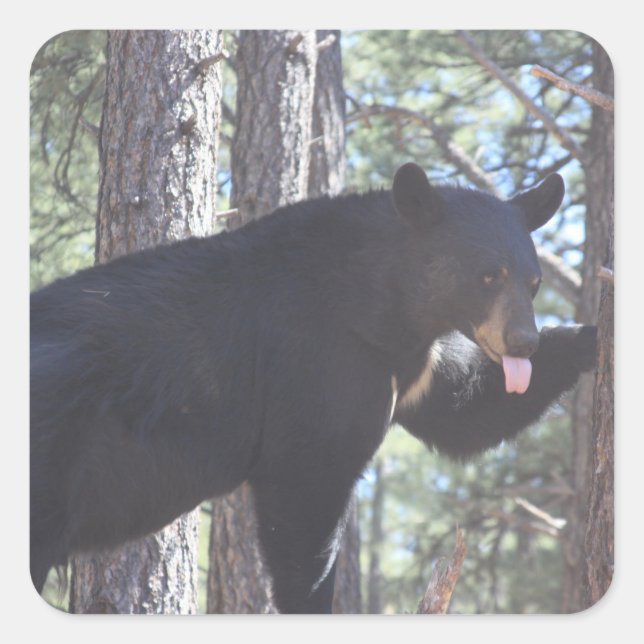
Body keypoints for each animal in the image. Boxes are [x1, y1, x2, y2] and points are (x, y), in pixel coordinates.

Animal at [30, 162, 596, 614]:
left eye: (533, 282)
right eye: (487, 276)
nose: (523, 341)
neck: (382, 307)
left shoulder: (412, 366)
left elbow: (463, 410)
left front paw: (588, 338)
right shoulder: (316, 364)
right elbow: (307, 491)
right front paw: (313, 600)